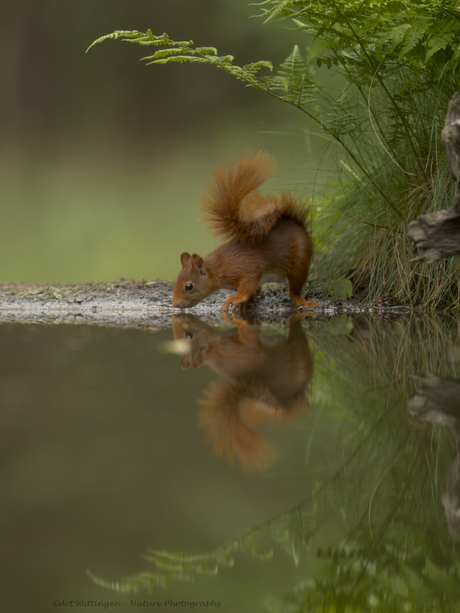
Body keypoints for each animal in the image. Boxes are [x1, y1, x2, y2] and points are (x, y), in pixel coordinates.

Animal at [172, 149, 320, 310]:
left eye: (189, 286)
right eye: (175, 281)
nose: (175, 304)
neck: (217, 269)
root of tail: (298, 224)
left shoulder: (247, 270)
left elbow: (247, 286)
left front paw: (236, 299)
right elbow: (251, 291)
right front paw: (243, 302)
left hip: (300, 261)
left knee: (295, 289)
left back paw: (304, 301)